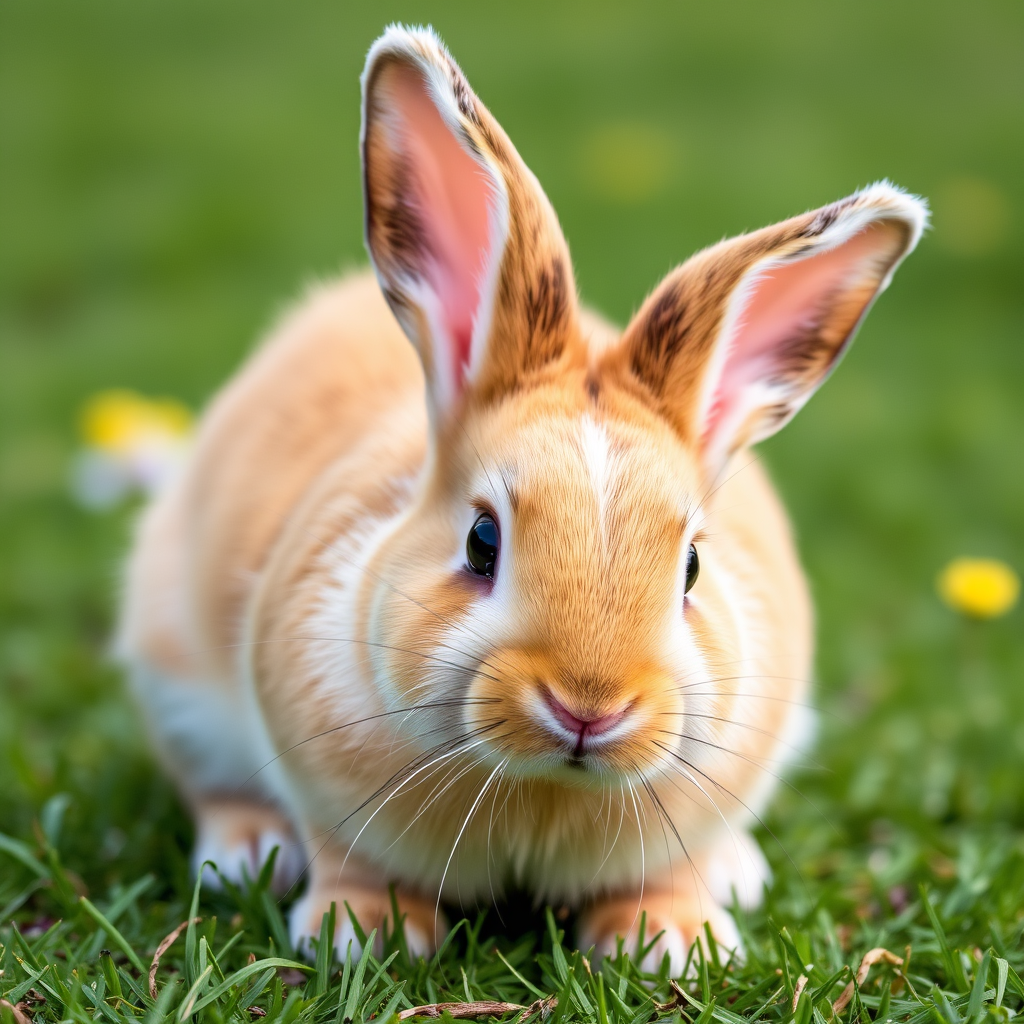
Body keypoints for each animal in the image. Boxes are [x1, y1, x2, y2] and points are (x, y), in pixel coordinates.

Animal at [117, 24, 926, 971]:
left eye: (692, 566)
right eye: (481, 541)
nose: (588, 707)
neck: (545, 790)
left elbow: (663, 874)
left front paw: (674, 940)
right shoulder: (324, 789)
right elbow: (349, 857)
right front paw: (367, 932)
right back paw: (249, 852)